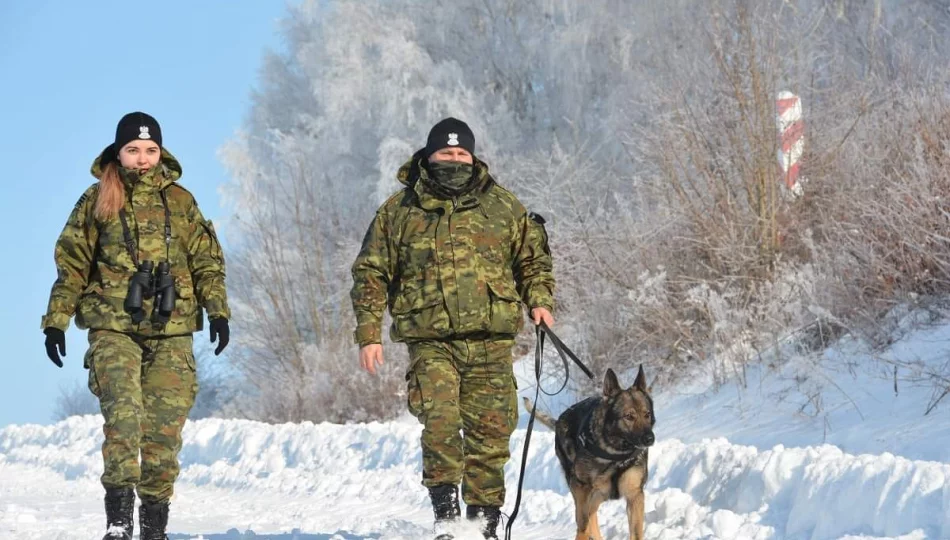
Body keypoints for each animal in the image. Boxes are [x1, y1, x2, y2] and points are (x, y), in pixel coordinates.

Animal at [528, 364, 656, 536]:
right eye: (629, 417)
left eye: (647, 414)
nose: (650, 439)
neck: (616, 454)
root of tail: (559, 421)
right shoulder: (582, 489)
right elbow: (582, 526)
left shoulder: (634, 495)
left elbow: (636, 533)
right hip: (586, 492)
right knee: (586, 518)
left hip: (598, 494)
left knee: (592, 515)